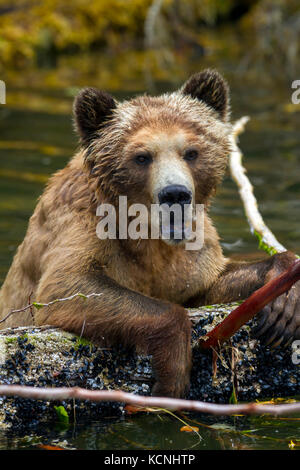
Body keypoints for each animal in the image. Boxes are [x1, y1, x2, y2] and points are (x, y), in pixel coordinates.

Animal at [0, 68, 298, 394]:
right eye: (141, 156)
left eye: (191, 152)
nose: (176, 193)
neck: (148, 236)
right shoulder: (82, 226)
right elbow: (67, 286)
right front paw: (173, 374)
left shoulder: (191, 256)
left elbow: (209, 285)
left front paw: (285, 298)